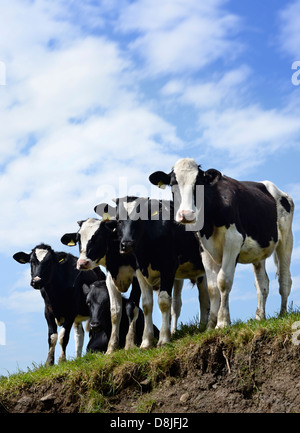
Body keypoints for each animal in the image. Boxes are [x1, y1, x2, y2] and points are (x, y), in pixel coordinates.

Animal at [95, 197, 210, 350]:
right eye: (118, 220)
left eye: (140, 218)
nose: (127, 244)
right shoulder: (139, 271)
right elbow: (146, 304)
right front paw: (146, 342)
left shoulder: (168, 266)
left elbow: (164, 301)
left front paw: (164, 339)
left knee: (207, 294)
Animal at [149, 157, 294, 330]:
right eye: (173, 184)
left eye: (199, 183)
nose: (186, 214)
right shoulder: (204, 249)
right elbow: (212, 288)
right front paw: (211, 325)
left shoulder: (233, 242)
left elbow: (223, 281)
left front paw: (223, 322)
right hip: (259, 252)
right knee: (262, 284)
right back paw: (260, 317)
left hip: (286, 238)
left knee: (284, 279)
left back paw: (282, 313)